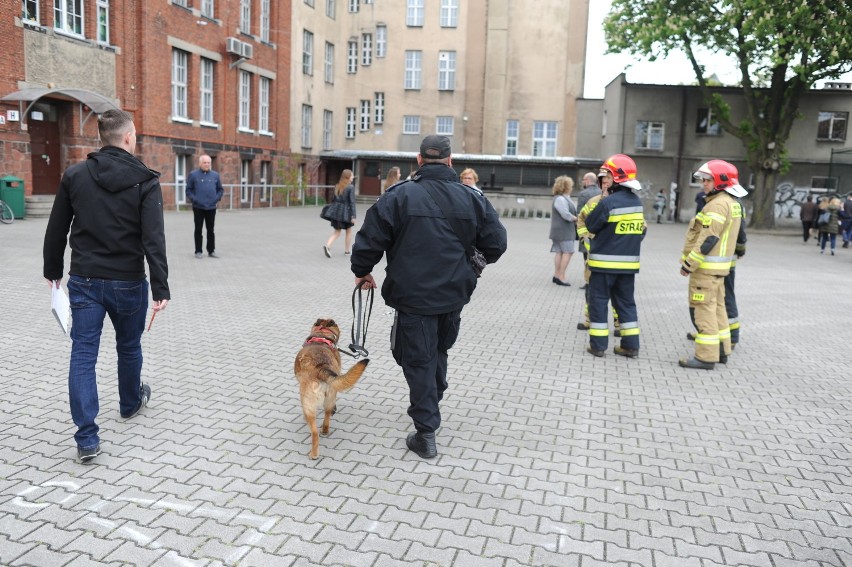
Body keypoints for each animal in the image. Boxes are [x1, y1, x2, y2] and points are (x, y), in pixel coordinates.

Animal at [294, 320, 368, 462]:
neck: (321, 335)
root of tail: (321, 368)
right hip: (330, 396)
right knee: (327, 414)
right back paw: (325, 429)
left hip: (308, 403)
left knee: (314, 432)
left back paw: (314, 453)